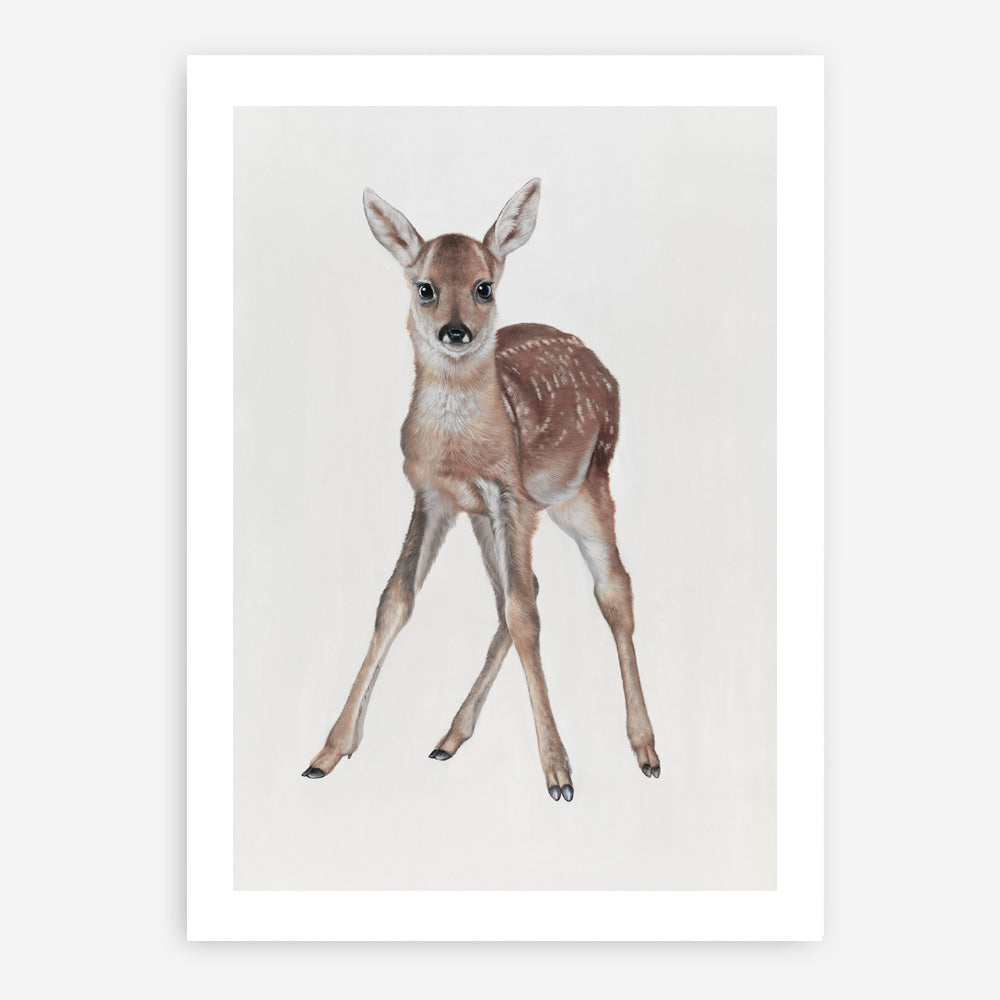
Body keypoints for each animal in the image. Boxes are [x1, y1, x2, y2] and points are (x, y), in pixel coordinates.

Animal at [302, 179, 659, 802]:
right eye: (425, 288)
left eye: (483, 287)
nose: (456, 331)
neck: (460, 447)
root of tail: (606, 371)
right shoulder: (434, 496)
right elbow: (396, 601)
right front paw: (329, 750)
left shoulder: (510, 495)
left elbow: (525, 616)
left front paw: (559, 773)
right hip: (489, 518)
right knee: (521, 592)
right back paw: (449, 737)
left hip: (586, 489)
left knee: (612, 589)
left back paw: (645, 749)